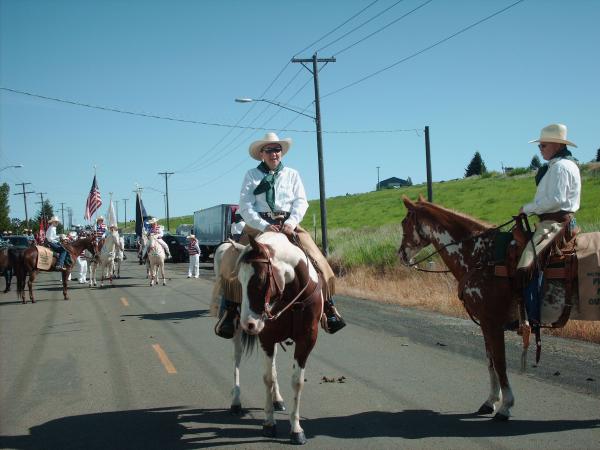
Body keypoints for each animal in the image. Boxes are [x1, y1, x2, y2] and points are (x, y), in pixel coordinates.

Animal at [238, 232, 326, 446]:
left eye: (261, 279)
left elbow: (297, 382)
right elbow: (268, 378)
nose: (249, 325)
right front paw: (269, 423)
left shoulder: (307, 340)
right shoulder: (266, 338)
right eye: (239, 280)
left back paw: (277, 399)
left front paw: (296, 429)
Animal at [398, 197, 520, 422]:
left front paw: (505, 406)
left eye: (404, 222)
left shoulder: (493, 322)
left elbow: (499, 362)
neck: (480, 257)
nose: (400, 253)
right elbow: (491, 362)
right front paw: (491, 401)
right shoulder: (485, 323)